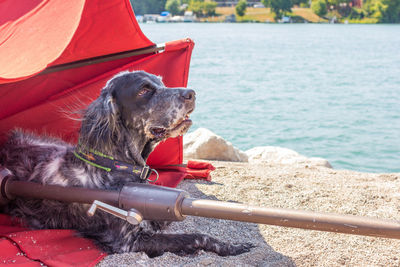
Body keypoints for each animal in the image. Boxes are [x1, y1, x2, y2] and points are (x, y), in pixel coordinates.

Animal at [0, 70, 253, 258]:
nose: (191, 93)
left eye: (161, 83)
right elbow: (196, 236)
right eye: (144, 90)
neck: (115, 165)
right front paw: (230, 247)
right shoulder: (127, 241)